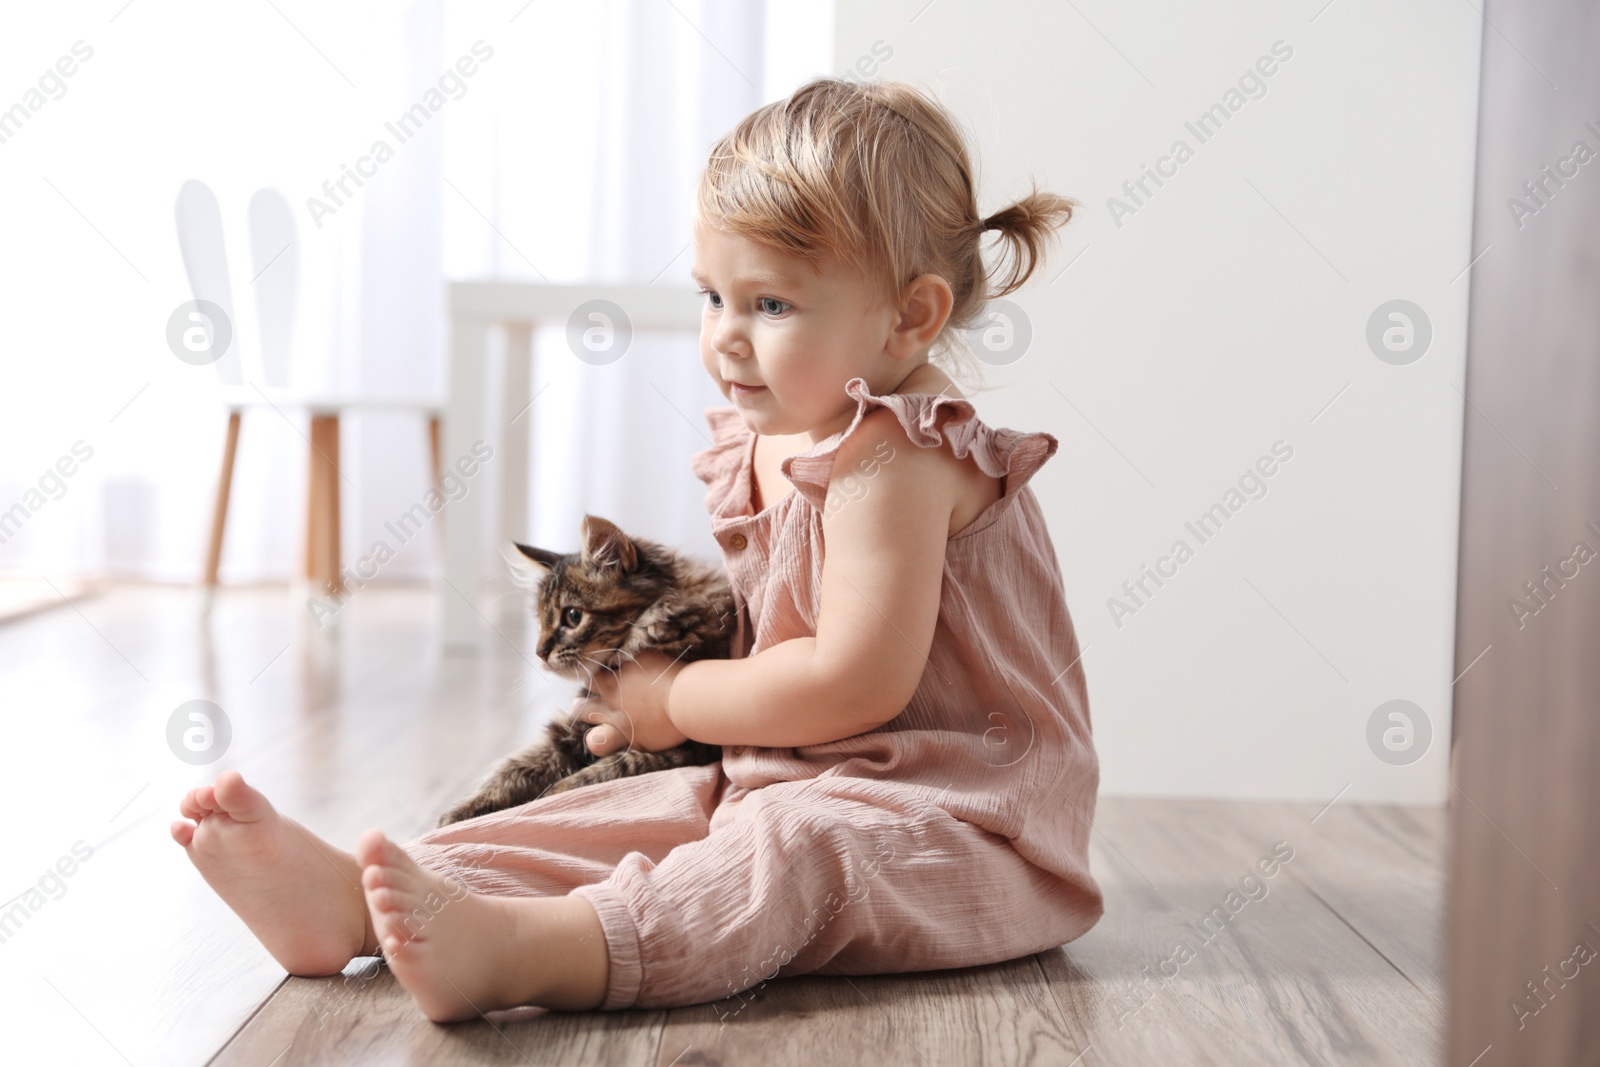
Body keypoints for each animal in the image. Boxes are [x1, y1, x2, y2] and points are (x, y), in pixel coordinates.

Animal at [438, 518, 736, 825]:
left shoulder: (691, 748)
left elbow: (611, 768)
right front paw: (458, 815)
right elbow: (516, 768)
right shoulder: (574, 725)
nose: (539, 652)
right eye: (540, 620)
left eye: (573, 616)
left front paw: (553, 793)